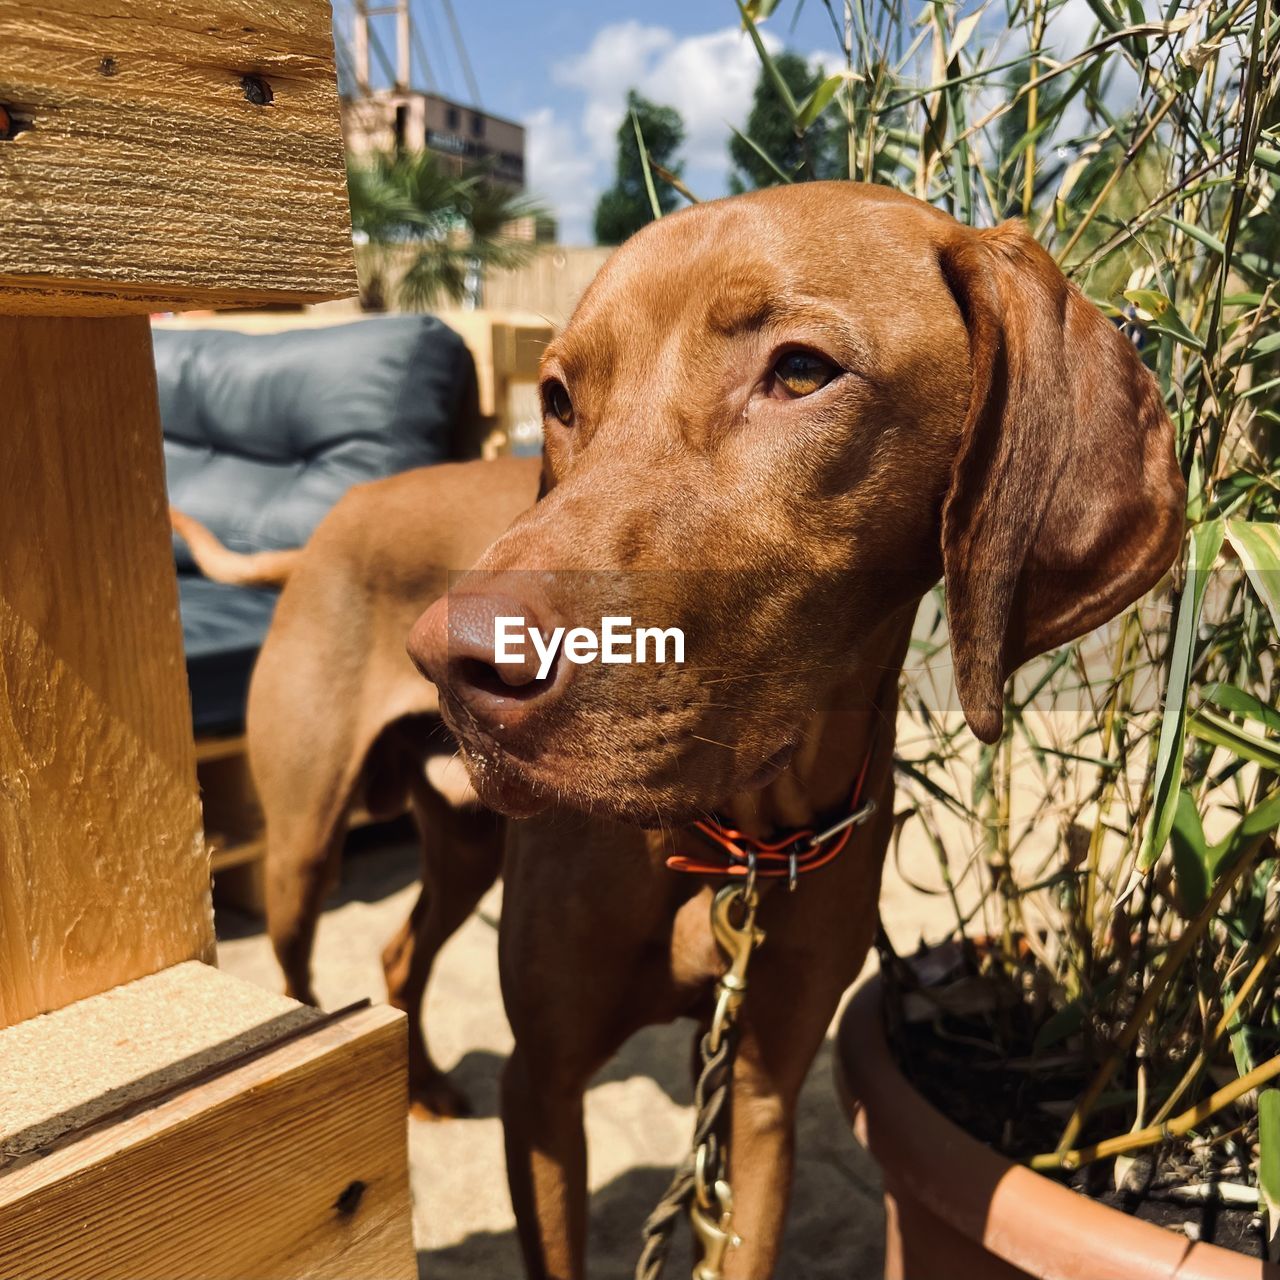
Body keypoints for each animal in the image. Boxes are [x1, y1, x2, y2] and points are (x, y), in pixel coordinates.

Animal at [180, 183, 1177, 1280]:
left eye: (800, 371)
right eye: (560, 398)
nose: (453, 661)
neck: (740, 836)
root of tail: (324, 525)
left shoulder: (757, 1096)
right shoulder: (543, 1083)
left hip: (464, 839)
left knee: (403, 950)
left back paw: (428, 1085)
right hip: (305, 847)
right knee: (308, 971)